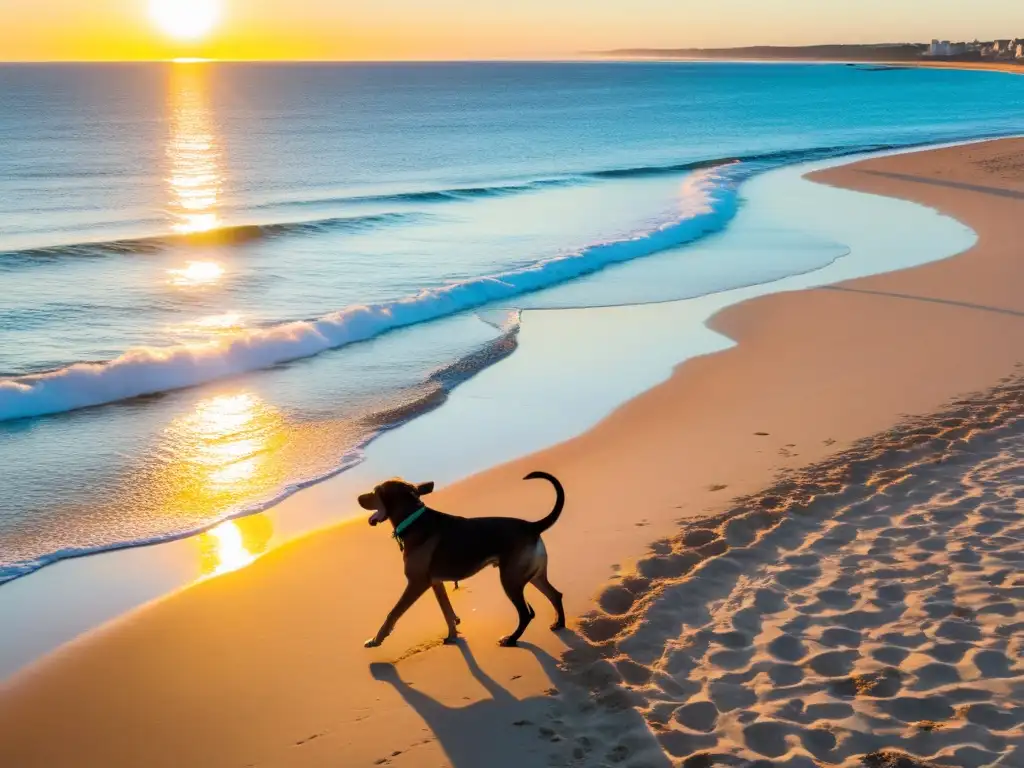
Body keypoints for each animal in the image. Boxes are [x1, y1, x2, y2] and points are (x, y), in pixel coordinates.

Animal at [360, 468, 569, 651]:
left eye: (375, 491)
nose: (358, 498)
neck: (413, 520)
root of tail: (532, 527)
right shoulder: (435, 583)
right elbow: (447, 612)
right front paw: (452, 635)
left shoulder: (416, 584)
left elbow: (393, 613)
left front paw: (376, 640)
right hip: (532, 575)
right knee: (555, 594)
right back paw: (559, 622)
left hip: (510, 579)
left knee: (526, 614)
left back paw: (511, 639)